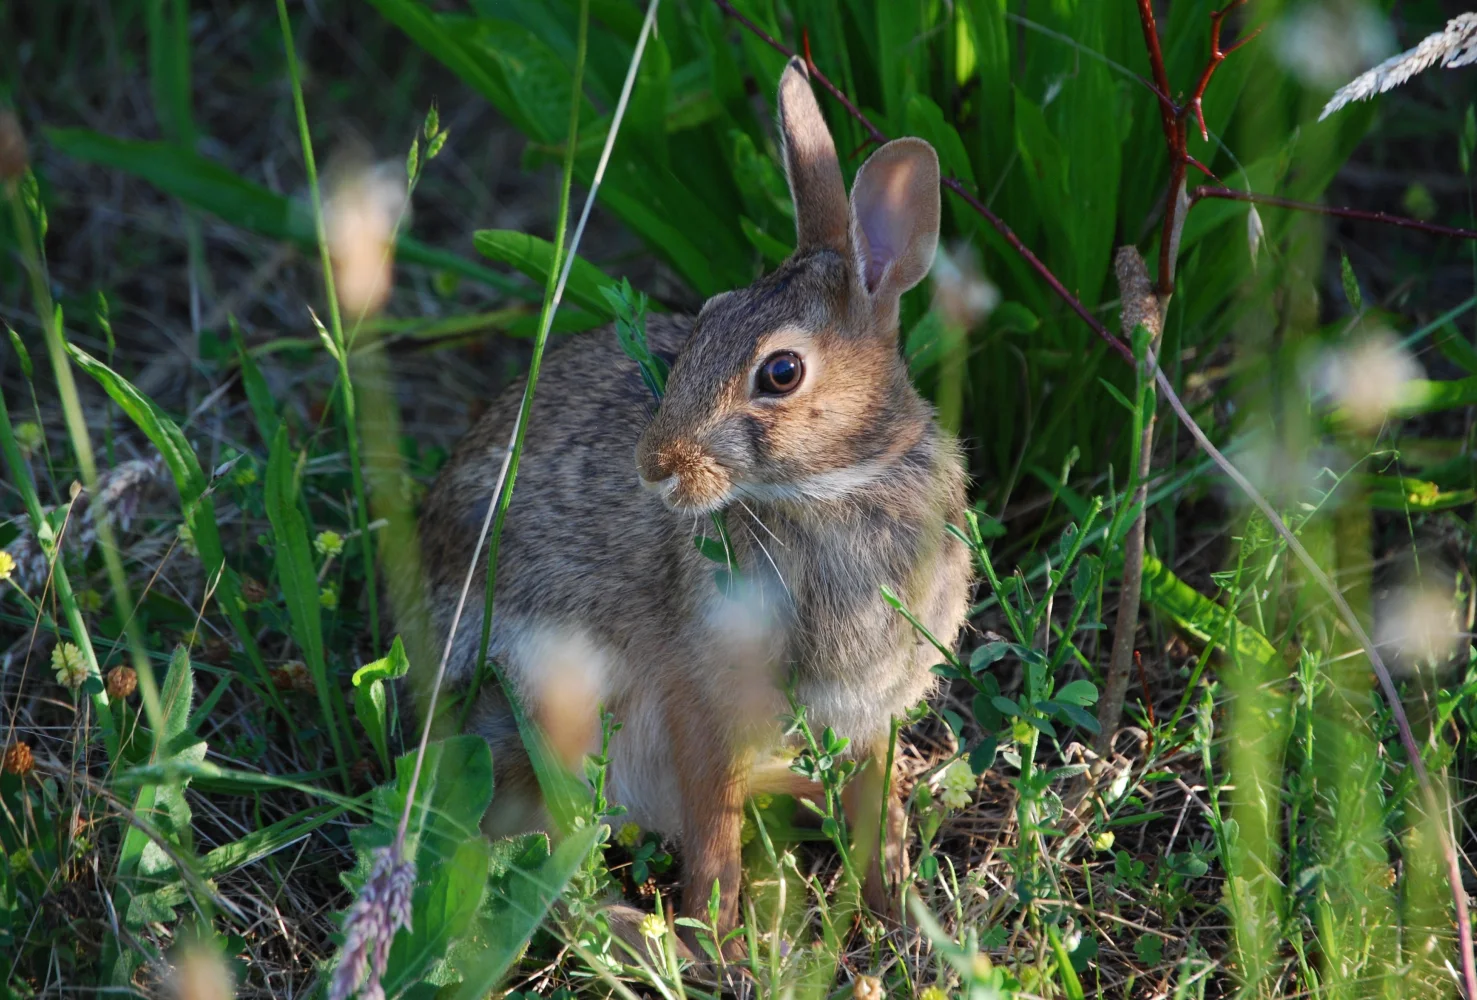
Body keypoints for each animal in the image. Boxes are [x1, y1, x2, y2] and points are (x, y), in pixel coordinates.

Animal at [414, 56, 972, 950]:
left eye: (779, 372)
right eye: (705, 320)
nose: (655, 467)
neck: (832, 487)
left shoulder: (870, 709)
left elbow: (869, 800)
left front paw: (897, 909)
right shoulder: (698, 695)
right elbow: (712, 826)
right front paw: (722, 936)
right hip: (552, 700)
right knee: (530, 852)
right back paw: (645, 934)